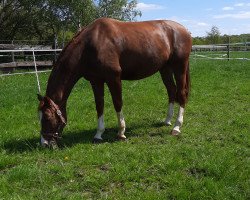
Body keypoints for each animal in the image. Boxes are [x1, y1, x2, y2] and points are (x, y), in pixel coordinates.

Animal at [37, 17, 191, 147]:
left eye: (47, 117)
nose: (44, 143)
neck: (91, 45)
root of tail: (184, 30)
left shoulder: (114, 78)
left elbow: (118, 103)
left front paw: (121, 133)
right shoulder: (96, 81)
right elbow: (99, 105)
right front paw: (98, 134)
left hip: (179, 66)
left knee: (181, 93)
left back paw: (176, 127)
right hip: (165, 69)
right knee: (171, 90)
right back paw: (167, 121)